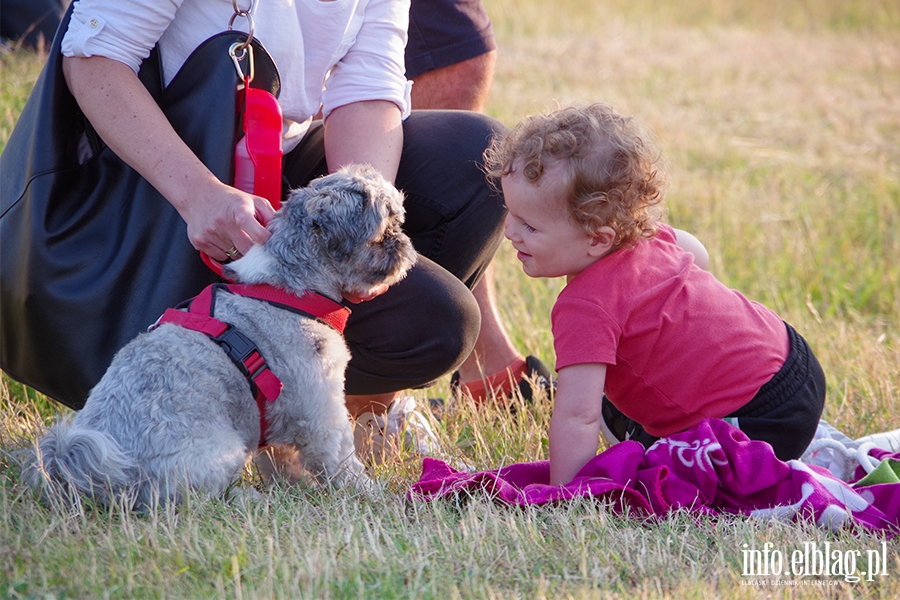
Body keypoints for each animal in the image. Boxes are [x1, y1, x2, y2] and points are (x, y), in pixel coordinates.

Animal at [25, 164, 418, 506]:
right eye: (385, 230)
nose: (403, 242)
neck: (288, 288)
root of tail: (101, 480)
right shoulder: (319, 406)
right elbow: (339, 460)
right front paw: (368, 492)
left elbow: (283, 457)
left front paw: (294, 488)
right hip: (222, 451)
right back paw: (247, 499)